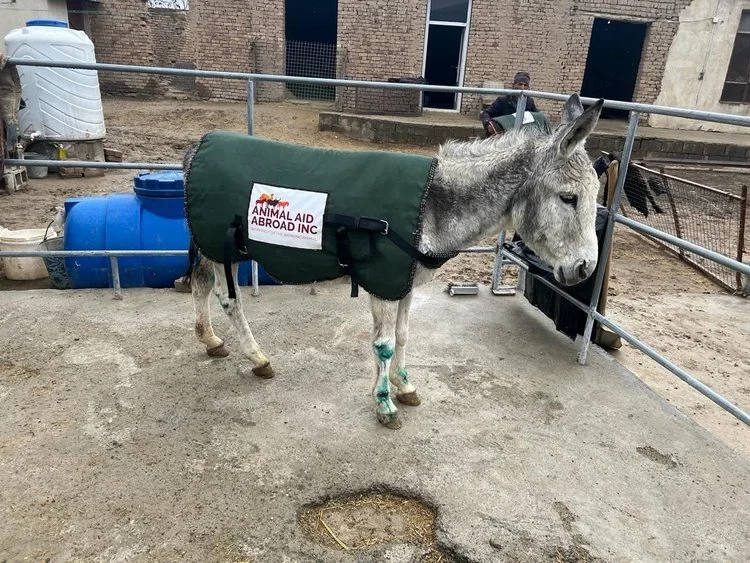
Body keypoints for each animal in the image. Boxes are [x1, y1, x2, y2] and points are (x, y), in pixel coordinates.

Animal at [182, 93, 604, 429]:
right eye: (568, 198)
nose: (585, 269)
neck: (430, 204)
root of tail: (196, 148)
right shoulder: (383, 282)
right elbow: (383, 344)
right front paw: (384, 405)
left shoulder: (404, 282)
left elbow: (402, 335)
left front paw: (404, 386)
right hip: (222, 246)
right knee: (228, 297)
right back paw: (257, 358)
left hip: (212, 246)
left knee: (201, 283)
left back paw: (211, 340)